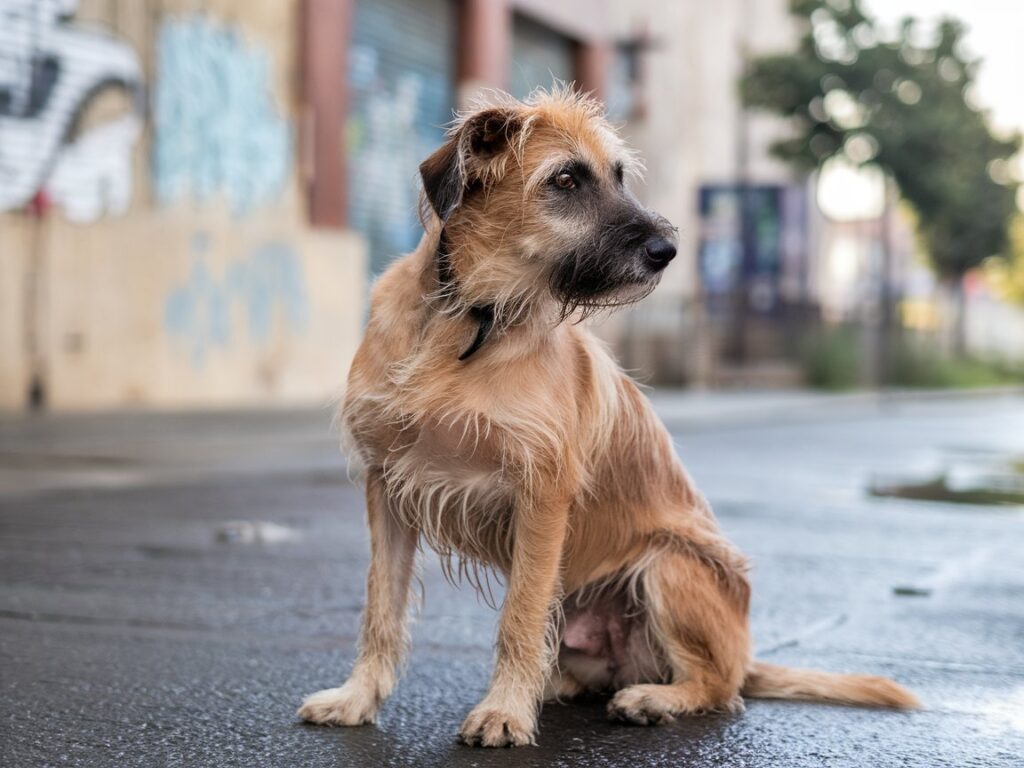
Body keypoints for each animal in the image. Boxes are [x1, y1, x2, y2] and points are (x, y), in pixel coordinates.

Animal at [299, 88, 921, 745]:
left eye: (619, 176)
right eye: (567, 178)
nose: (667, 252)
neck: (468, 318)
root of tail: (745, 658)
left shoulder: (542, 495)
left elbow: (518, 618)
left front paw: (503, 712)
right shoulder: (388, 488)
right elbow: (381, 608)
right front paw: (356, 698)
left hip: (670, 565)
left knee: (718, 688)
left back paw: (652, 698)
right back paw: (563, 687)